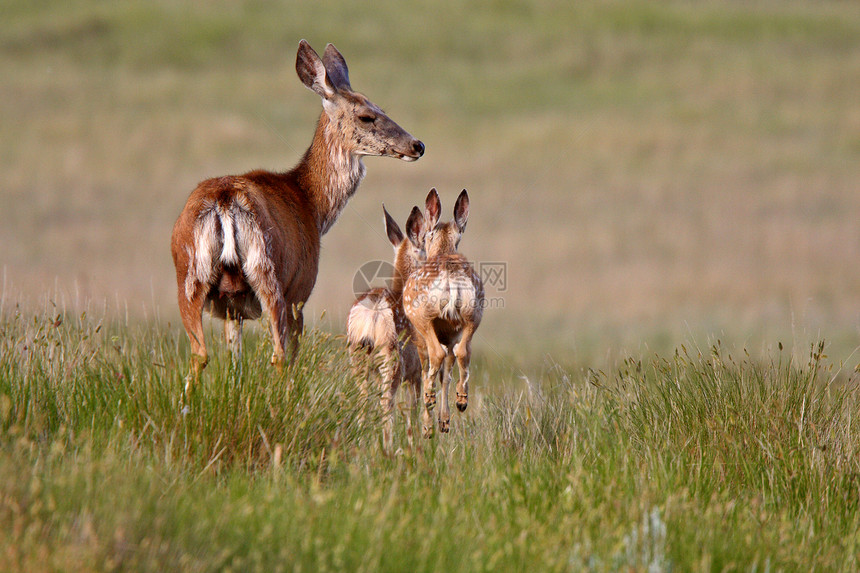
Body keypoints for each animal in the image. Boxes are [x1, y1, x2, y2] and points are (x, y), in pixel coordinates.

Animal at [170, 38, 424, 382]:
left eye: (383, 109)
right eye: (366, 116)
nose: (417, 145)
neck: (312, 205)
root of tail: (225, 199)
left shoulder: (231, 306)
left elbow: (235, 360)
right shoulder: (301, 291)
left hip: (190, 275)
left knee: (199, 354)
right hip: (269, 273)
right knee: (278, 355)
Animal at [348, 204, 424, 452]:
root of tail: (372, 310)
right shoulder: (417, 370)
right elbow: (413, 411)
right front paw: (417, 447)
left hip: (358, 356)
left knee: (363, 400)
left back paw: (362, 444)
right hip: (391, 359)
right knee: (385, 402)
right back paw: (388, 448)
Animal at [404, 188, 484, 434]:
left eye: (426, 237)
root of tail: (450, 277)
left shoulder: (419, 337)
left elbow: (426, 367)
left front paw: (429, 424)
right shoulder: (450, 332)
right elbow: (447, 373)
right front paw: (444, 421)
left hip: (423, 318)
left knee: (436, 354)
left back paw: (429, 403)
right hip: (472, 315)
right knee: (462, 352)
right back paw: (461, 401)